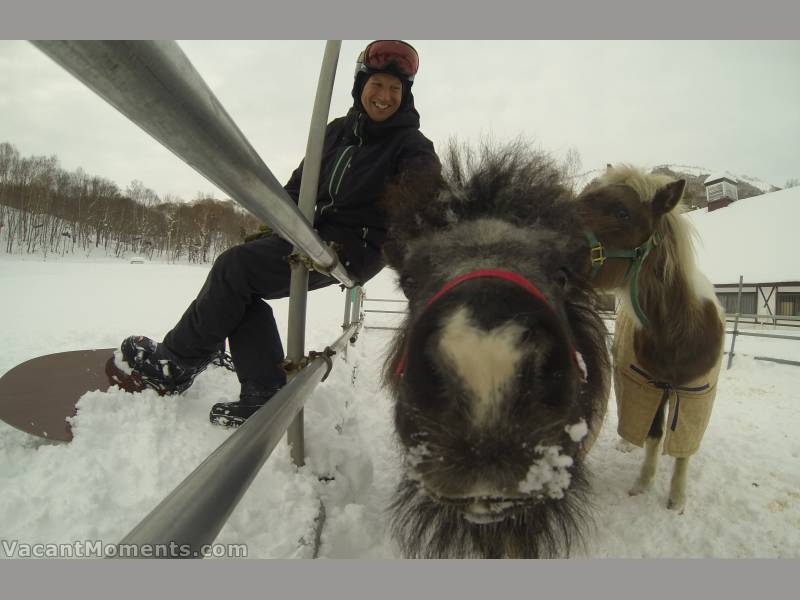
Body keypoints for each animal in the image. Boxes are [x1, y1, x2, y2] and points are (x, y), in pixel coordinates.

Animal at [576, 166, 724, 512]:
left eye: (622, 212)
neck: (677, 335)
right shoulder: (647, 387)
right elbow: (655, 435)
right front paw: (643, 483)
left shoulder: (696, 396)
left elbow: (683, 448)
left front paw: (677, 497)